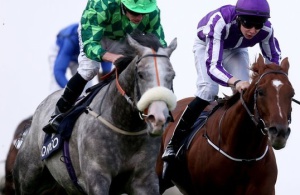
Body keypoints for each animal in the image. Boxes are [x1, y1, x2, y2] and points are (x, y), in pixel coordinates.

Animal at [14, 31, 177, 194]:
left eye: (172, 75)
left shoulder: (144, 180)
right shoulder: (96, 178)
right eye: (141, 74)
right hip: (28, 179)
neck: (124, 124)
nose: (157, 118)